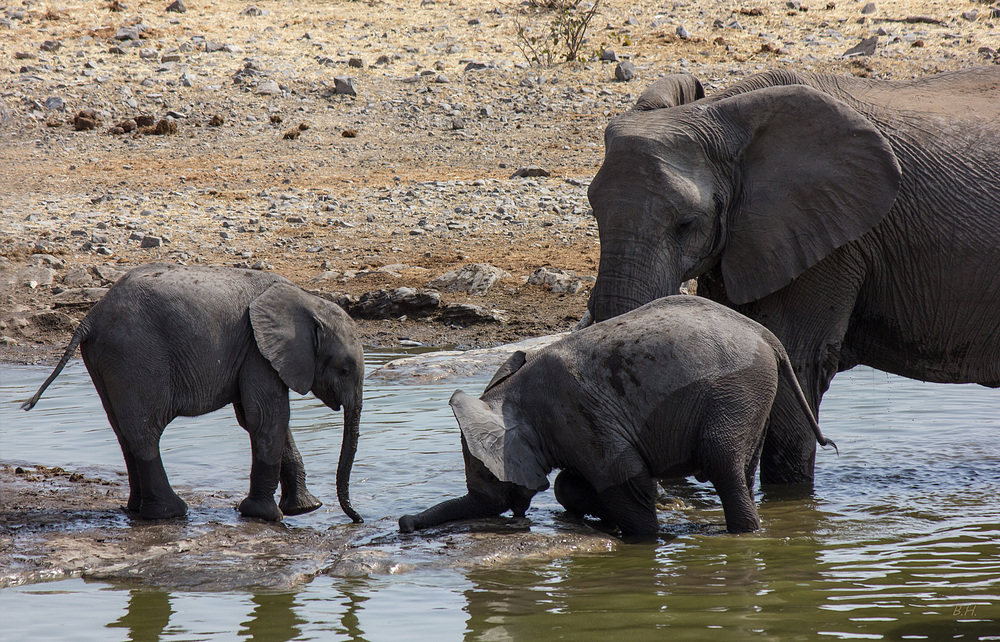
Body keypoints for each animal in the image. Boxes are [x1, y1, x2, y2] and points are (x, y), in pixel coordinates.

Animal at [23, 262, 366, 524]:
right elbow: (268, 417)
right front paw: (268, 516)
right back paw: (170, 513)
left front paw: (307, 509)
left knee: (122, 429)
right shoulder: (257, 350)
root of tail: (91, 316)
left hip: (104, 358)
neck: (307, 301)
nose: (358, 518)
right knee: (145, 430)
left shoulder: (252, 352)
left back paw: (137, 510)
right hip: (135, 356)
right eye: (344, 370)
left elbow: (257, 419)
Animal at [398, 296, 836, 536]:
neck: (513, 394)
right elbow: (570, 485)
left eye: (489, 474)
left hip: (738, 389)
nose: (404, 522)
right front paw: (602, 522)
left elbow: (628, 481)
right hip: (753, 395)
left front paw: (640, 541)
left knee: (721, 461)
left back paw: (745, 536)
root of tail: (769, 337)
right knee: (742, 467)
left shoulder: (578, 414)